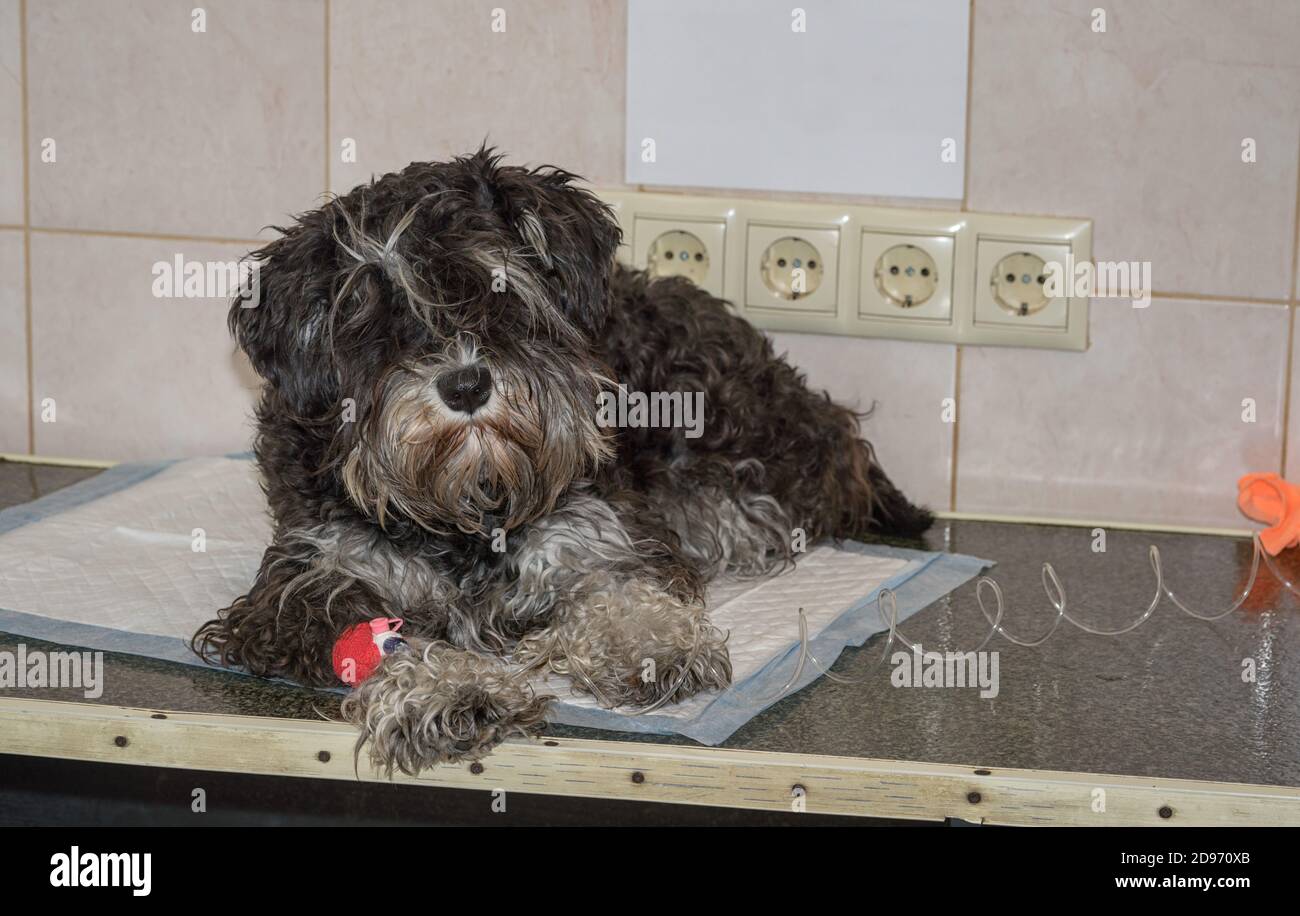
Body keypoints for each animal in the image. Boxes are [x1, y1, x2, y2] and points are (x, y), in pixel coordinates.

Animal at [192, 150, 930, 769]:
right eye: (369, 315)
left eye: (498, 288)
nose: (466, 385)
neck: (468, 507)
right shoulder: (306, 582)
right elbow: (378, 642)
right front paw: (448, 691)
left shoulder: (601, 529)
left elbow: (620, 585)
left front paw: (652, 645)